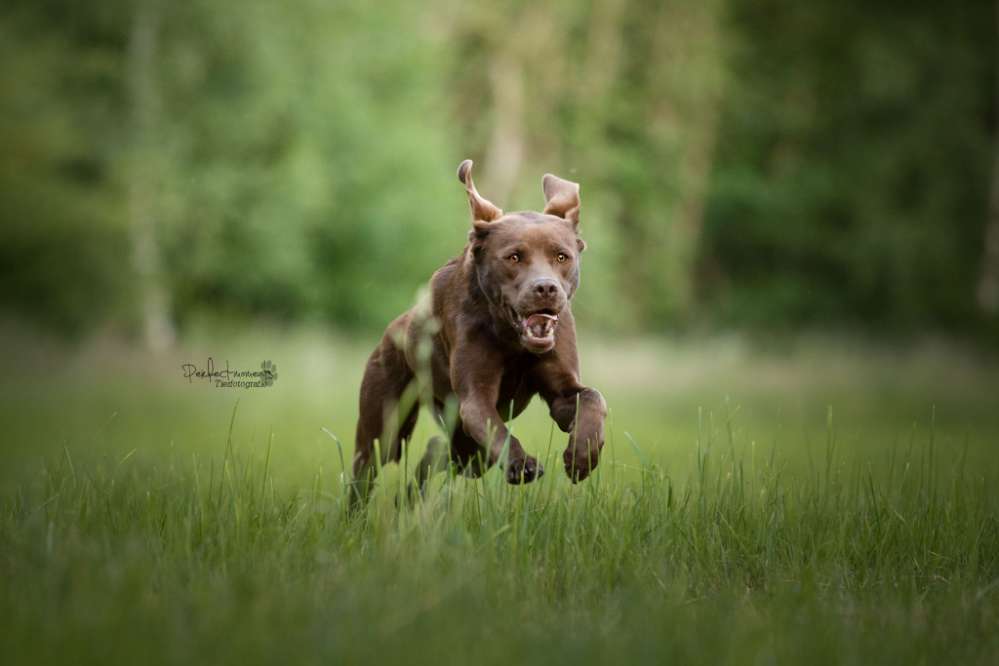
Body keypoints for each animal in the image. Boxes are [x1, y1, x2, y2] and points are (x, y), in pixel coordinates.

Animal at [352, 160, 604, 504]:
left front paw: (582, 457)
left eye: (561, 256)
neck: (513, 339)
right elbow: (496, 428)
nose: (545, 288)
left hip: (463, 447)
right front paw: (520, 463)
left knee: (437, 453)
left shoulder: (562, 390)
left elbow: (592, 399)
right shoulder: (474, 397)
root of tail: (394, 330)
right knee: (368, 469)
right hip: (387, 425)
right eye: (514, 257)